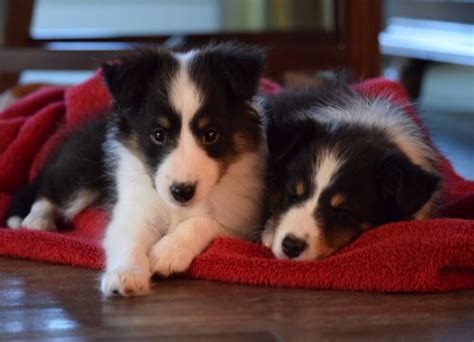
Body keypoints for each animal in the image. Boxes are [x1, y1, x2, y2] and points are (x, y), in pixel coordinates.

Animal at [5, 42, 268, 296]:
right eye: (158, 135)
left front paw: (167, 252)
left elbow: (205, 221)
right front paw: (125, 274)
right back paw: (36, 220)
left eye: (211, 135)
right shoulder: (133, 208)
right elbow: (129, 239)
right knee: (51, 186)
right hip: (82, 165)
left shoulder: (243, 219)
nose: (181, 192)